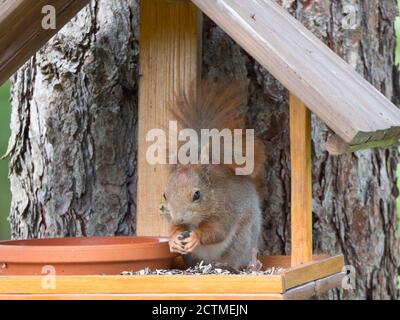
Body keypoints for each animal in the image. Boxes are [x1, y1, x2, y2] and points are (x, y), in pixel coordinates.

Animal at [162, 80, 266, 270]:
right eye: (165, 195)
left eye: (197, 195)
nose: (179, 218)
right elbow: (173, 229)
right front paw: (173, 239)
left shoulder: (227, 208)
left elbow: (217, 231)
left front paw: (195, 236)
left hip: (242, 238)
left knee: (234, 256)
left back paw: (235, 264)